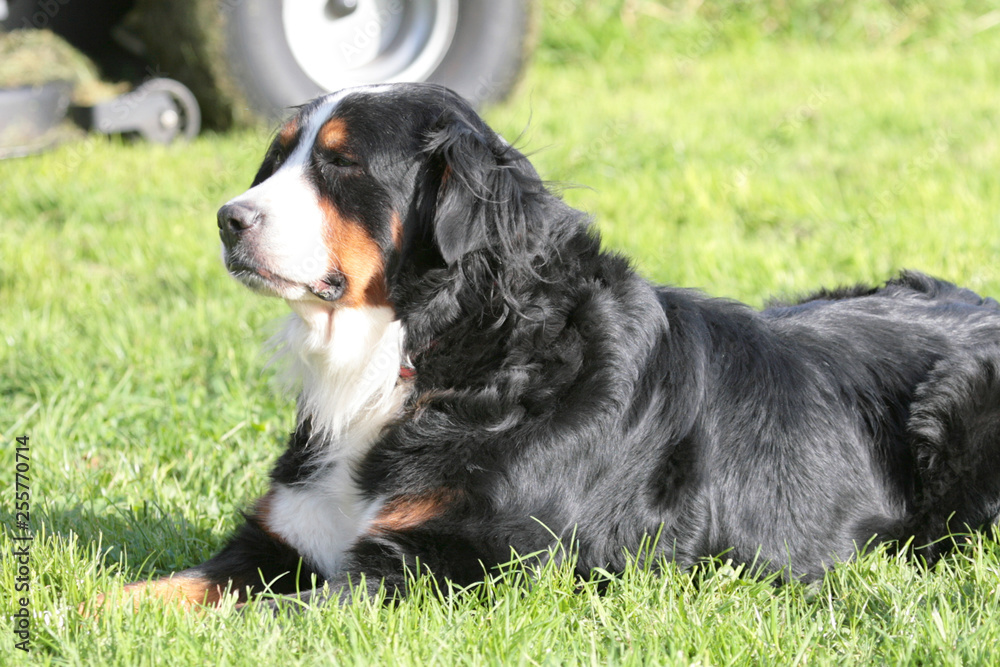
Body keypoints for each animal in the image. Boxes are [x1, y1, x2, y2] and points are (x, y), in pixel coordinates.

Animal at [113, 82, 1000, 612]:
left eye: (341, 164)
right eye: (277, 156)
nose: (228, 218)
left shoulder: (443, 566)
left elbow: (261, 614)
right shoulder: (282, 537)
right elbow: (160, 589)